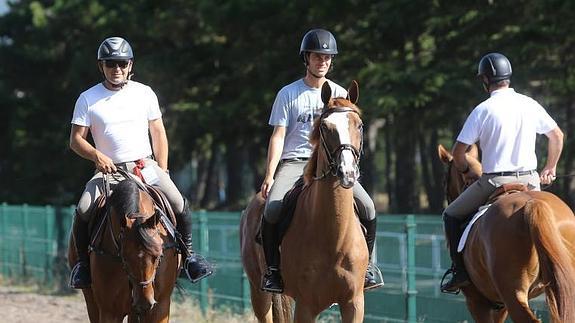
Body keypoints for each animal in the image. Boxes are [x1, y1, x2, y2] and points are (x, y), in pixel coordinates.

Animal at [68, 173, 179, 322]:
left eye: (158, 256)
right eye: (124, 258)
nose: (144, 302)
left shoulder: (161, 306)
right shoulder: (109, 311)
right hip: (91, 298)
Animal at [242, 80, 368, 322]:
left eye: (359, 126)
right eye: (325, 127)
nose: (347, 173)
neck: (334, 238)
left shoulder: (354, 303)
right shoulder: (306, 306)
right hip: (259, 293)